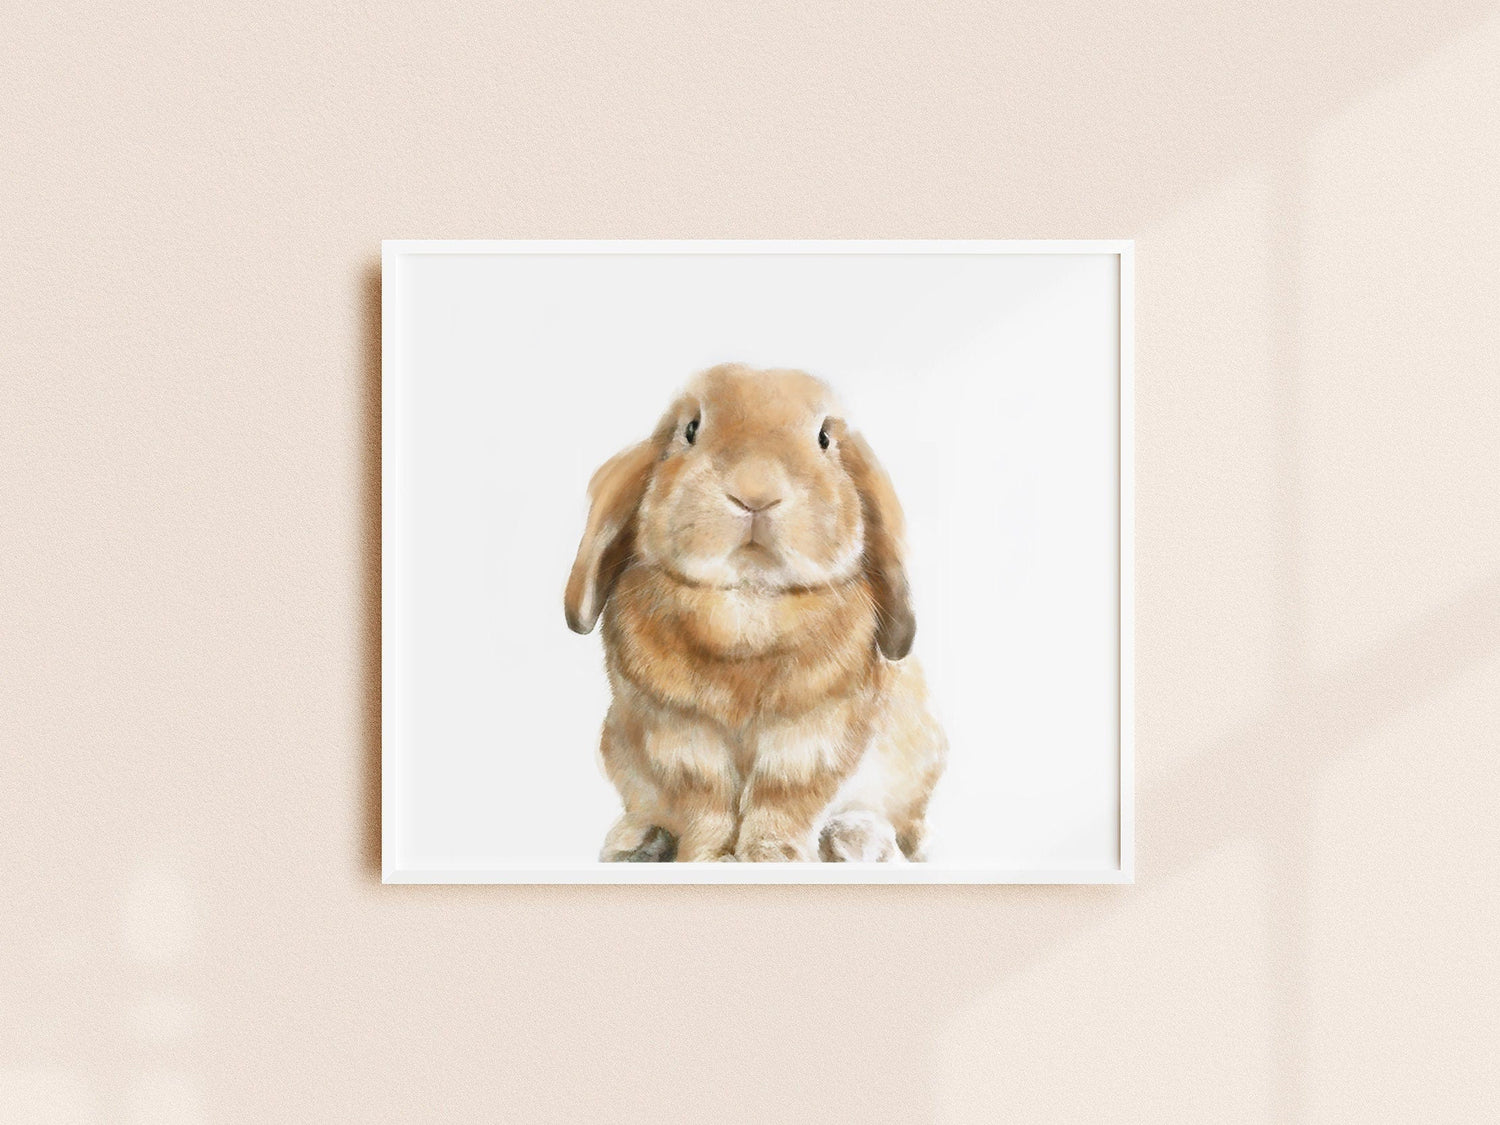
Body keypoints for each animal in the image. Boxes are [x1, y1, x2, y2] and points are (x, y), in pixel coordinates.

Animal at [565, 363, 947, 862]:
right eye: (691, 430)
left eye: (824, 438)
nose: (755, 492)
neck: (749, 600)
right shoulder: (680, 736)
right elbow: (705, 802)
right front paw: (706, 857)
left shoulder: (813, 736)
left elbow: (782, 800)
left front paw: (773, 857)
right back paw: (636, 841)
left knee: (904, 828)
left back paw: (856, 840)